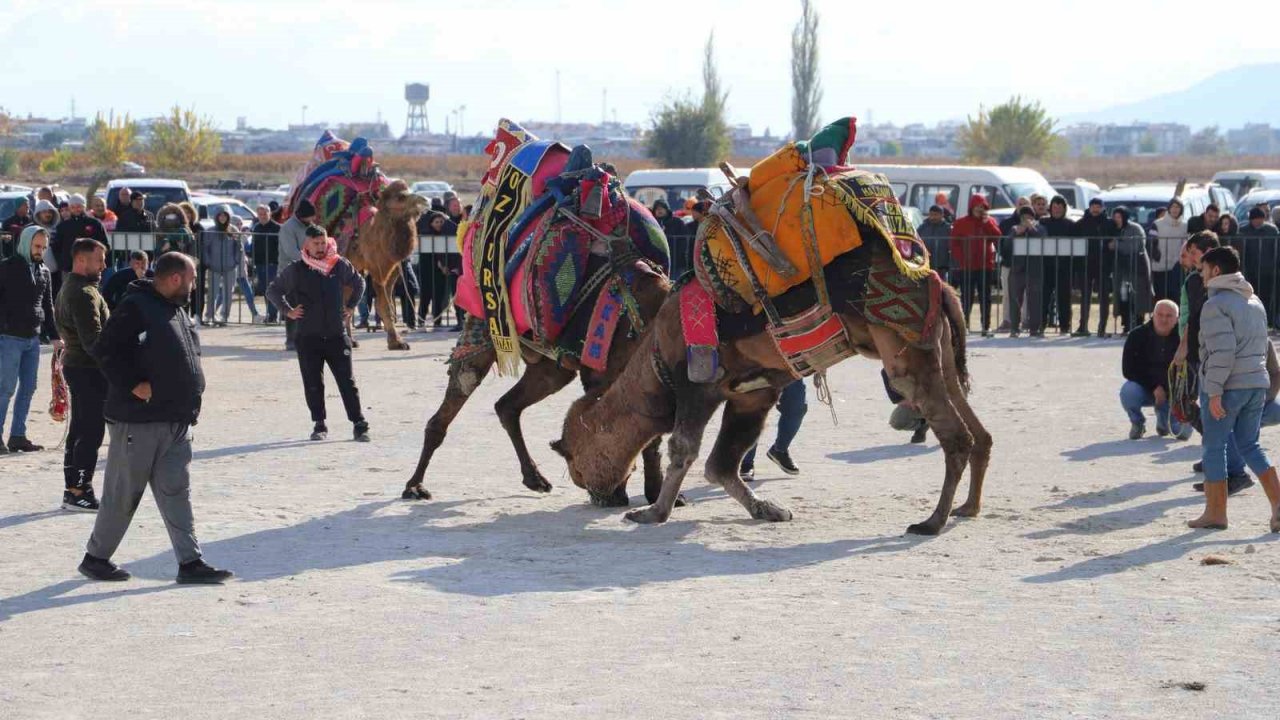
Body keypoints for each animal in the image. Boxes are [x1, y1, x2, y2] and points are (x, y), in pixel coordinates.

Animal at [404, 258, 675, 504]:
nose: (594, 490)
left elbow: (650, 434)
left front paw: (655, 493)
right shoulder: (602, 375)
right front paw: (618, 493)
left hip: (549, 368)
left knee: (507, 405)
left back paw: (535, 478)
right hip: (485, 328)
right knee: (460, 388)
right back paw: (414, 486)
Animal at [550, 230, 988, 532]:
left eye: (574, 460)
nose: (594, 493)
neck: (656, 353)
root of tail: (938, 283)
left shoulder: (696, 385)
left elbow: (684, 450)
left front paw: (652, 512)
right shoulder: (753, 392)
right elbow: (721, 464)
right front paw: (769, 509)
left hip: (906, 353)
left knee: (956, 435)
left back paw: (931, 522)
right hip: (941, 354)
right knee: (977, 430)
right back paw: (967, 508)